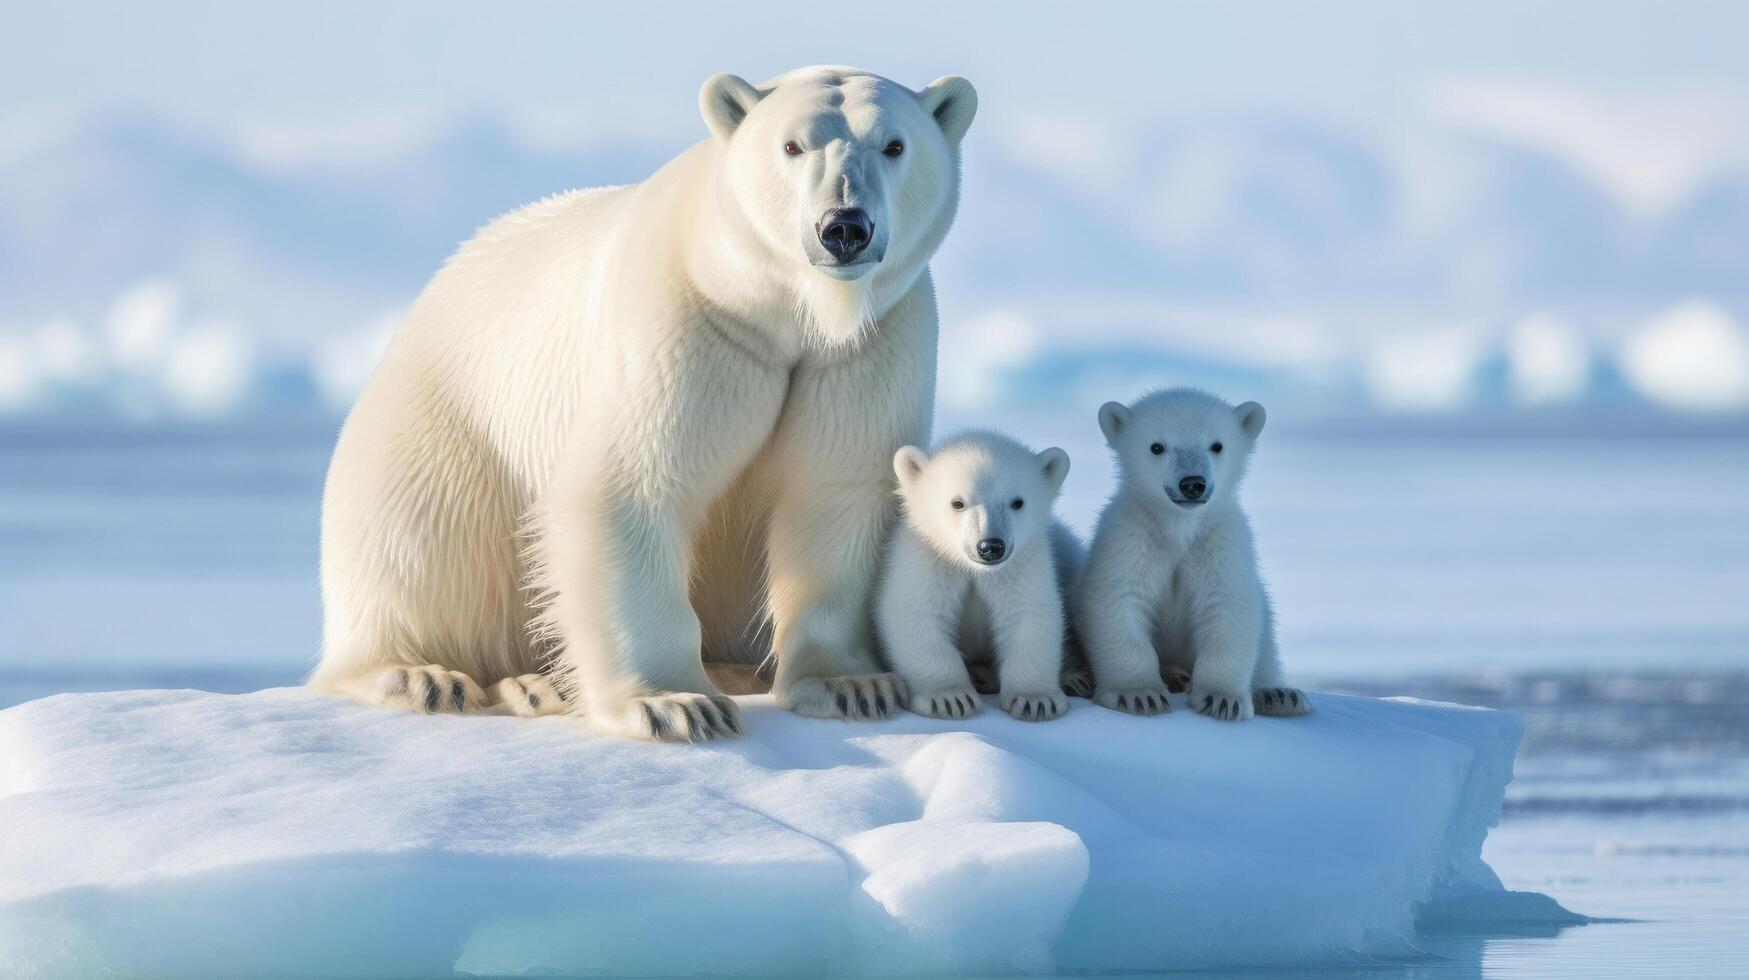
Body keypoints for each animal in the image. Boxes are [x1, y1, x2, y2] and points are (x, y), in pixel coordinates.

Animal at [309, 66, 979, 742]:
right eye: (792, 145)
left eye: (894, 145)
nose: (843, 227)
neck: (784, 311)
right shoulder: (688, 319)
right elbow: (633, 484)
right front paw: (675, 704)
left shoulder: (870, 343)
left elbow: (837, 492)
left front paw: (853, 685)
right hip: (438, 427)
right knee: (418, 545)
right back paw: (432, 674)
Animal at [871, 432, 1077, 724]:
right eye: (958, 502)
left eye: (1017, 502)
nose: (991, 546)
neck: (975, 570)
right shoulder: (927, 557)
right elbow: (916, 613)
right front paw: (949, 698)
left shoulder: (1024, 563)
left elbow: (1029, 614)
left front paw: (1035, 700)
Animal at [1070, 388, 1308, 721]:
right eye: (1157, 446)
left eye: (1217, 445)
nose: (1192, 483)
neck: (1178, 528)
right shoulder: (1130, 539)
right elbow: (1116, 599)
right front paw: (1139, 695)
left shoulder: (1220, 543)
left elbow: (1228, 606)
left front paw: (1222, 699)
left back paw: (1279, 694)